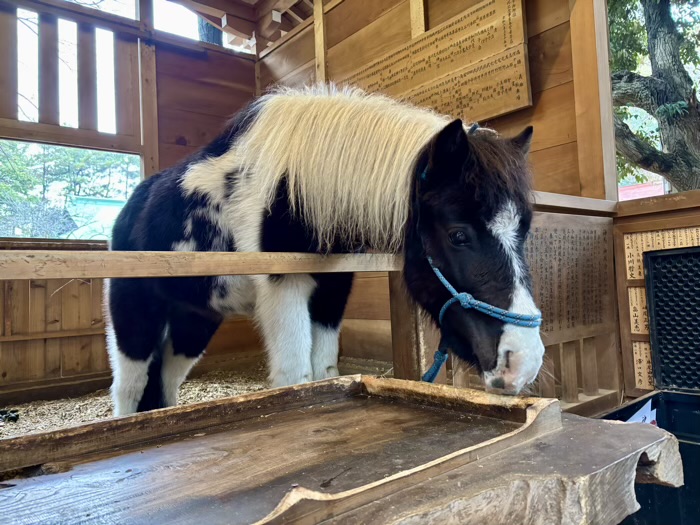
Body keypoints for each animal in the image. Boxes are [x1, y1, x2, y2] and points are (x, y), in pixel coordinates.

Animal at [104, 84, 544, 416]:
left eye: (524, 229)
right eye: (458, 235)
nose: (522, 360)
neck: (293, 191)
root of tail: (131, 207)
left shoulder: (333, 291)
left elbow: (325, 372)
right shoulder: (285, 288)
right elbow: (295, 377)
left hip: (194, 322)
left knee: (165, 384)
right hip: (133, 313)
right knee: (130, 387)